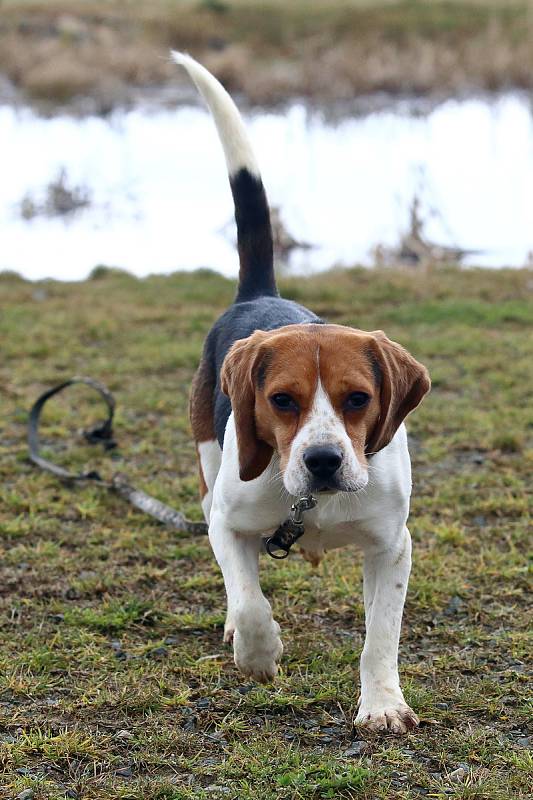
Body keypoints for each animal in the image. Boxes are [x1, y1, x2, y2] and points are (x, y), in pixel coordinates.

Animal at [175, 53, 432, 736]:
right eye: (282, 401)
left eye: (359, 398)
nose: (322, 461)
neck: (311, 504)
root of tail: (258, 294)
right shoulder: (228, 523)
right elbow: (250, 599)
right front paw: (259, 653)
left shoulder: (393, 548)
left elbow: (380, 635)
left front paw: (382, 705)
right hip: (208, 465)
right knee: (239, 583)